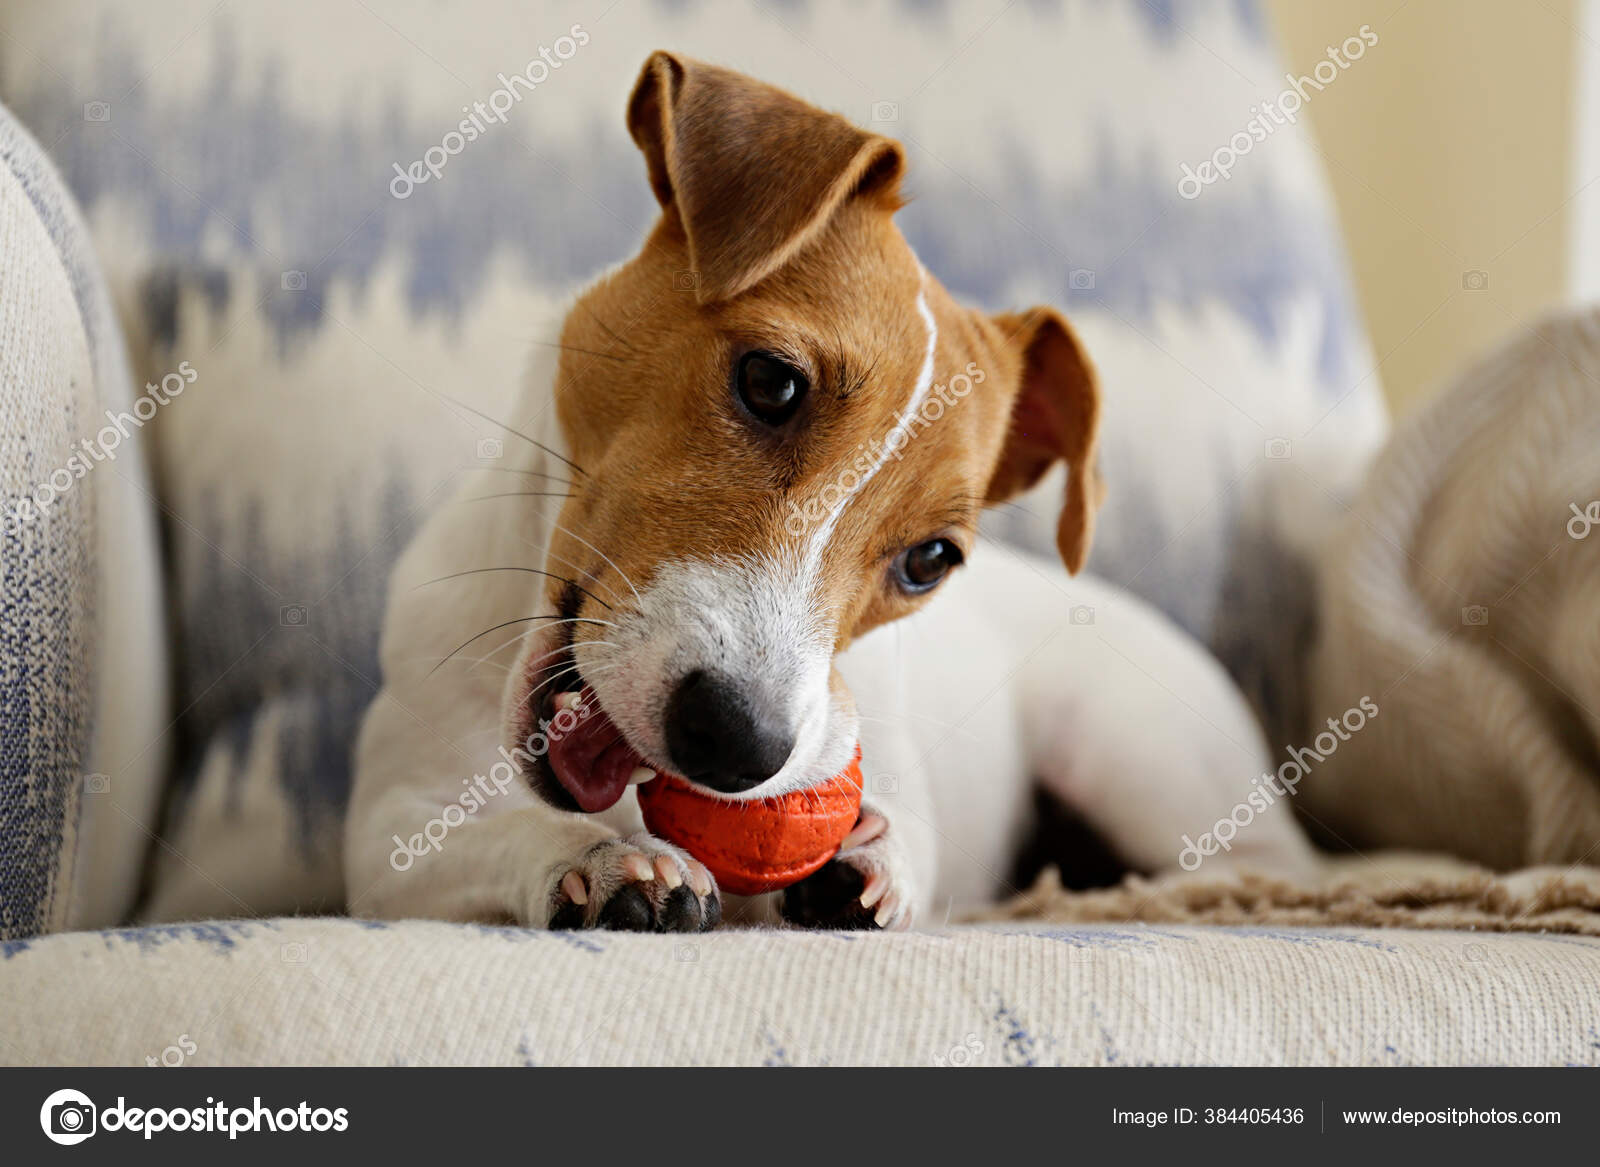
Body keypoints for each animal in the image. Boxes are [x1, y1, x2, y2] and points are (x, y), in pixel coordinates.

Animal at [347, 52, 1312, 928]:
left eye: (929, 559)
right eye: (770, 382)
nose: (738, 746)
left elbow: (906, 836)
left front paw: (872, 859)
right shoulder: (388, 839)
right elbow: (489, 836)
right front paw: (603, 858)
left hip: (1135, 758)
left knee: (1264, 861)